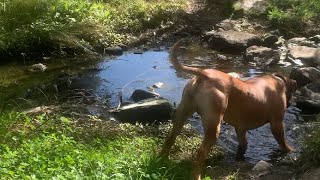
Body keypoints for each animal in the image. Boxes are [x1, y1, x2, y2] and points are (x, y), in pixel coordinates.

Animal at [160, 40, 298, 179]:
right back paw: (196, 175)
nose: (290, 104)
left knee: (170, 137)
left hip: (182, 113)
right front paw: (291, 151)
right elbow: (283, 142)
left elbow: (243, 143)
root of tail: (204, 74)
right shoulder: (277, 124)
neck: (278, 80)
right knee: (201, 151)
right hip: (214, 125)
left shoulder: (241, 128)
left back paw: (161, 160)